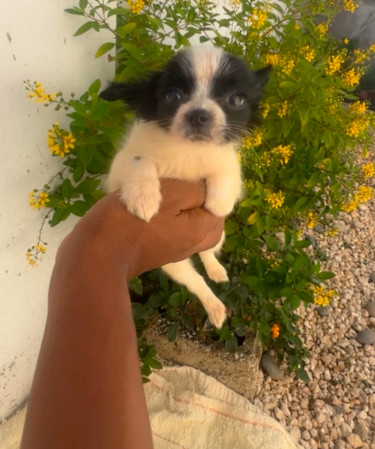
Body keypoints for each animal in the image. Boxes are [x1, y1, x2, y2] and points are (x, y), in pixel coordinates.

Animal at [100, 44, 270, 326]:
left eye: (237, 100)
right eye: (172, 96)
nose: (199, 115)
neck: (188, 150)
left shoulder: (228, 164)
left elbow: (224, 182)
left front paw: (217, 204)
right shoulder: (120, 166)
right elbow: (140, 160)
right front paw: (143, 197)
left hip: (217, 236)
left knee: (207, 253)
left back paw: (216, 271)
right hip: (172, 262)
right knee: (196, 280)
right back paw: (214, 305)